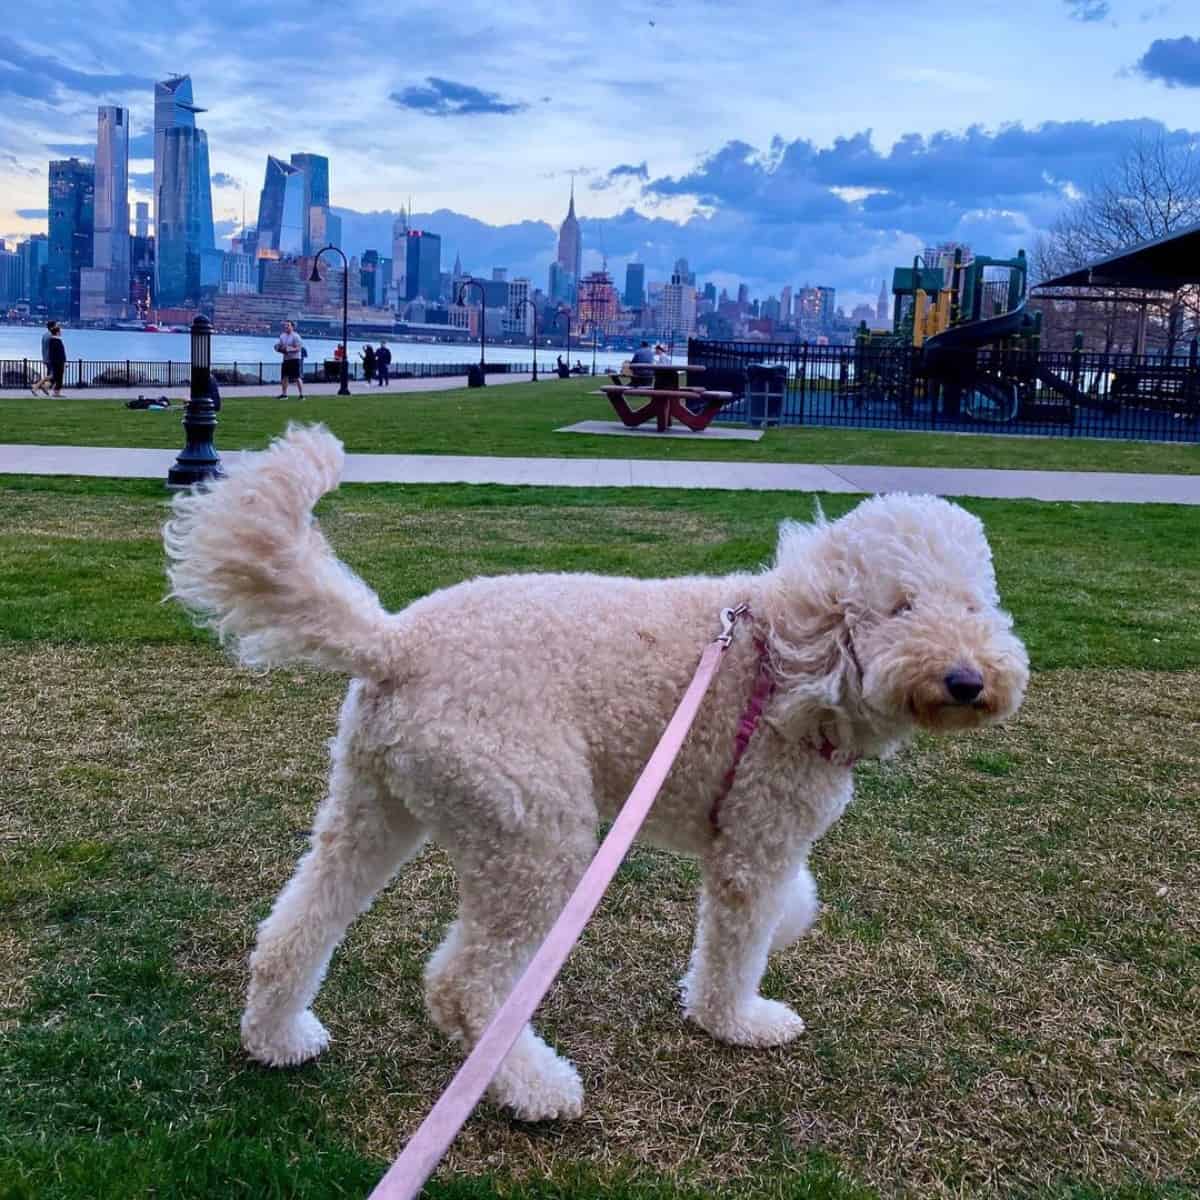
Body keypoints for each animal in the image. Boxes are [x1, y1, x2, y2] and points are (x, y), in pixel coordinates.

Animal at [164, 424, 1032, 1123]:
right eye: (900, 606)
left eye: (974, 605)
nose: (966, 680)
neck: (787, 655)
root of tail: (393, 645)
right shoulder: (758, 835)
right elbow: (739, 940)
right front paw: (736, 1022)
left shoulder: (750, 839)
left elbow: (786, 905)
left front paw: (789, 926)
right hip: (532, 828)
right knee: (466, 984)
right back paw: (533, 1085)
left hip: (376, 802)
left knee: (294, 928)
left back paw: (278, 1038)